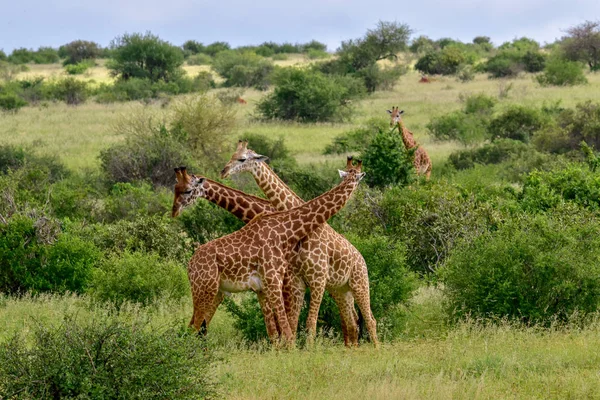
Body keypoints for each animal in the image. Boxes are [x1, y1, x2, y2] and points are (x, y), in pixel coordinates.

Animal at [220, 141, 380, 346]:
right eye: (233, 155)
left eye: (242, 159)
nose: (224, 171)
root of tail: (362, 259)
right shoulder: (296, 282)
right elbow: (293, 323)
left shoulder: (316, 279)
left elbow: (309, 323)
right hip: (341, 289)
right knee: (352, 322)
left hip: (359, 284)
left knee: (369, 319)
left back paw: (376, 350)